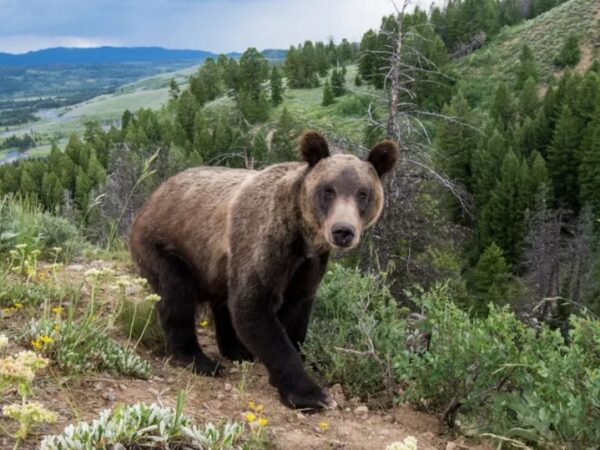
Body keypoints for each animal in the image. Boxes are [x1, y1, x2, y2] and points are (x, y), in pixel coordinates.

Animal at [130, 129, 398, 408]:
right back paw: (198, 359)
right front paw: (309, 394)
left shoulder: (309, 264)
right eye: (328, 190)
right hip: (166, 243)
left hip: (217, 264)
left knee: (221, 300)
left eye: (362, 193)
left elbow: (296, 309)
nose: (343, 231)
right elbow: (254, 307)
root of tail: (156, 192)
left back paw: (236, 350)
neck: (302, 234)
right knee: (176, 293)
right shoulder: (265, 242)